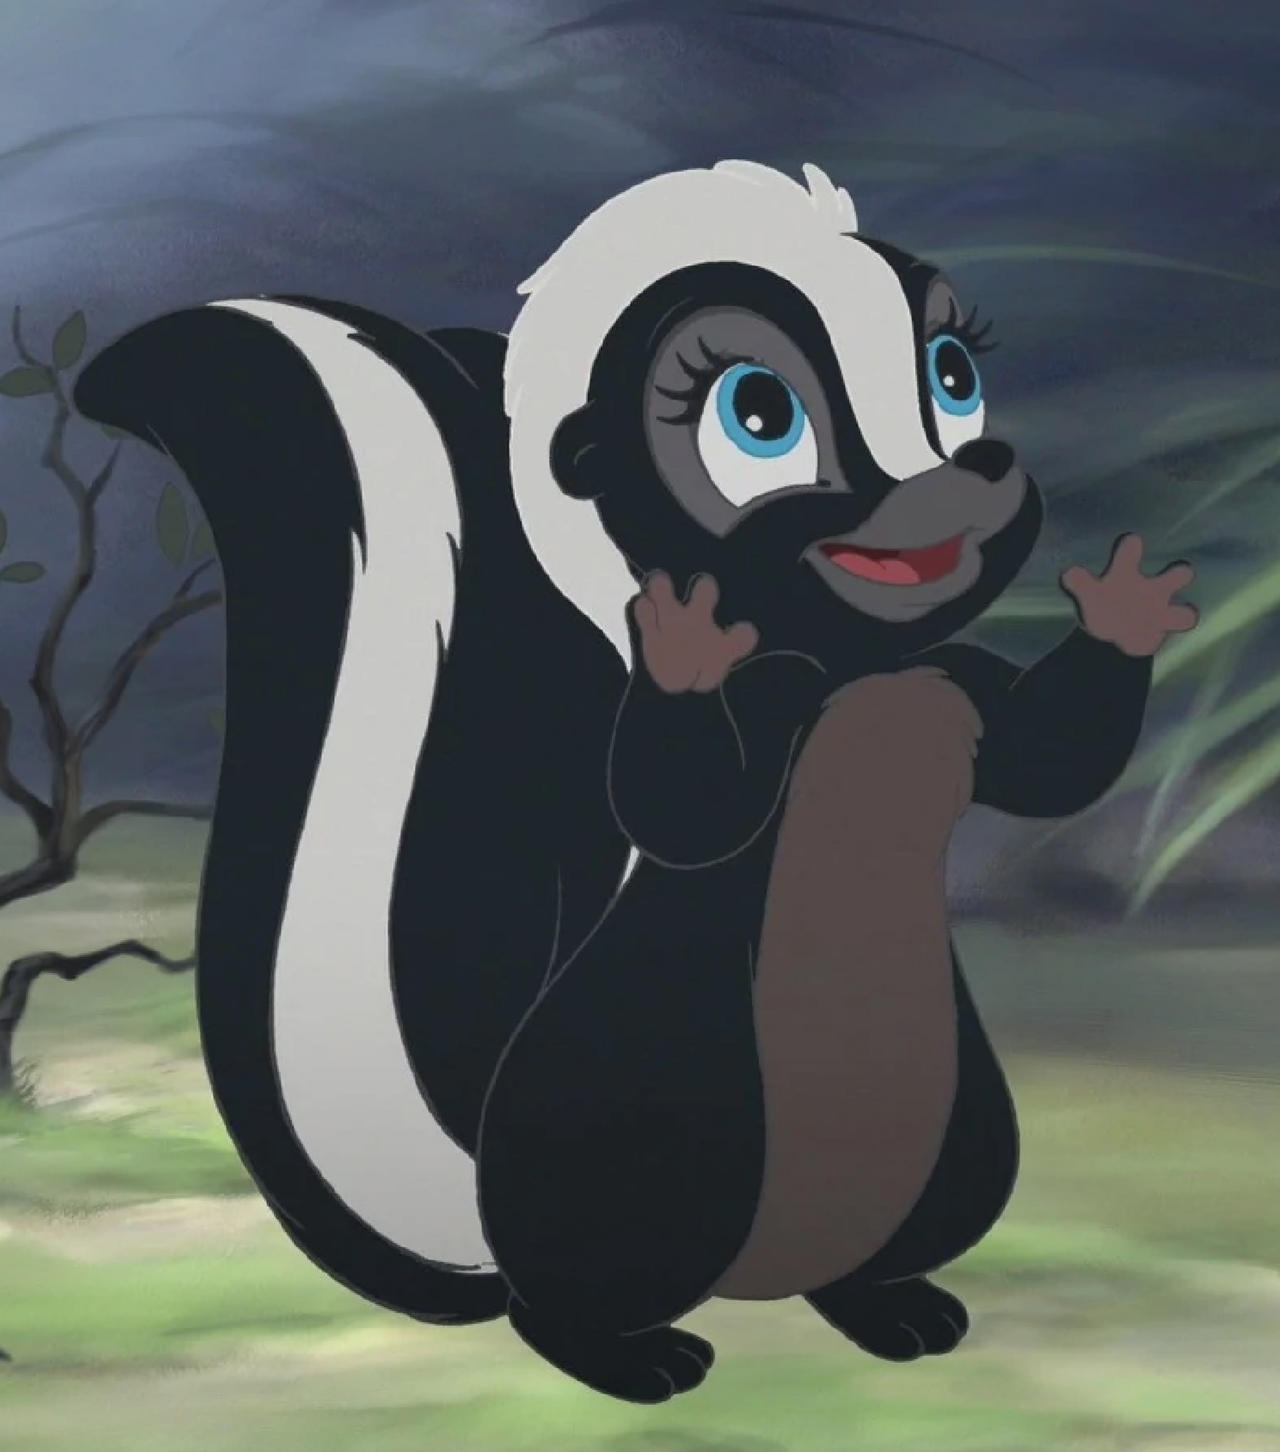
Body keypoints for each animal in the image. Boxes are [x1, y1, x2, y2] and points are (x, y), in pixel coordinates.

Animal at [73, 159, 1195, 1404]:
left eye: (953, 378)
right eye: (758, 415)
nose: (970, 473)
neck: (854, 671)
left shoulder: (962, 684)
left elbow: (1053, 760)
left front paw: (1125, 606)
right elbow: (679, 802)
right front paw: (680, 649)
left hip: (962, 1141)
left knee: (877, 1254)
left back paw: (894, 1309)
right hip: (638, 1164)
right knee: (557, 1304)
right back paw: (633, 1358)